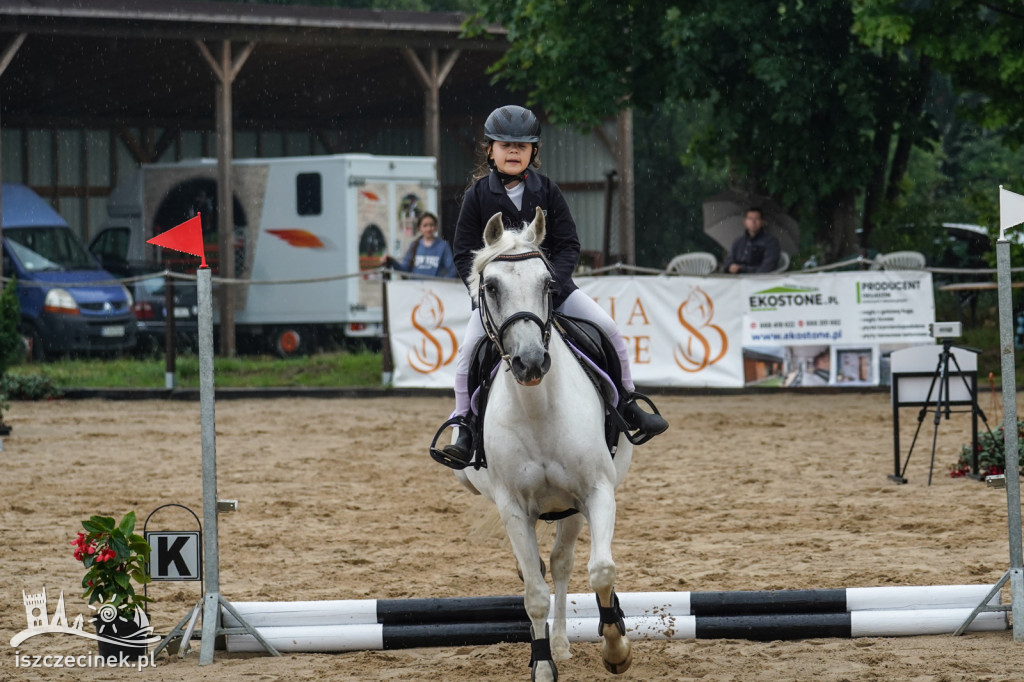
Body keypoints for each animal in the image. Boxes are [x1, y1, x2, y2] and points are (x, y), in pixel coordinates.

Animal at [456, 206, 630, 679]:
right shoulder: (513, 508)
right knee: (537, 568)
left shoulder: (597, 492)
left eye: (548, 283)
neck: (537, 410)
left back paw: (572, 640)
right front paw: (543, 665)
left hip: (572, 509)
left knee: (565, 563)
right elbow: (533, 593)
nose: (531, 362)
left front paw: (616, 649)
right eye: (491, 287)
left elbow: (601, 569)